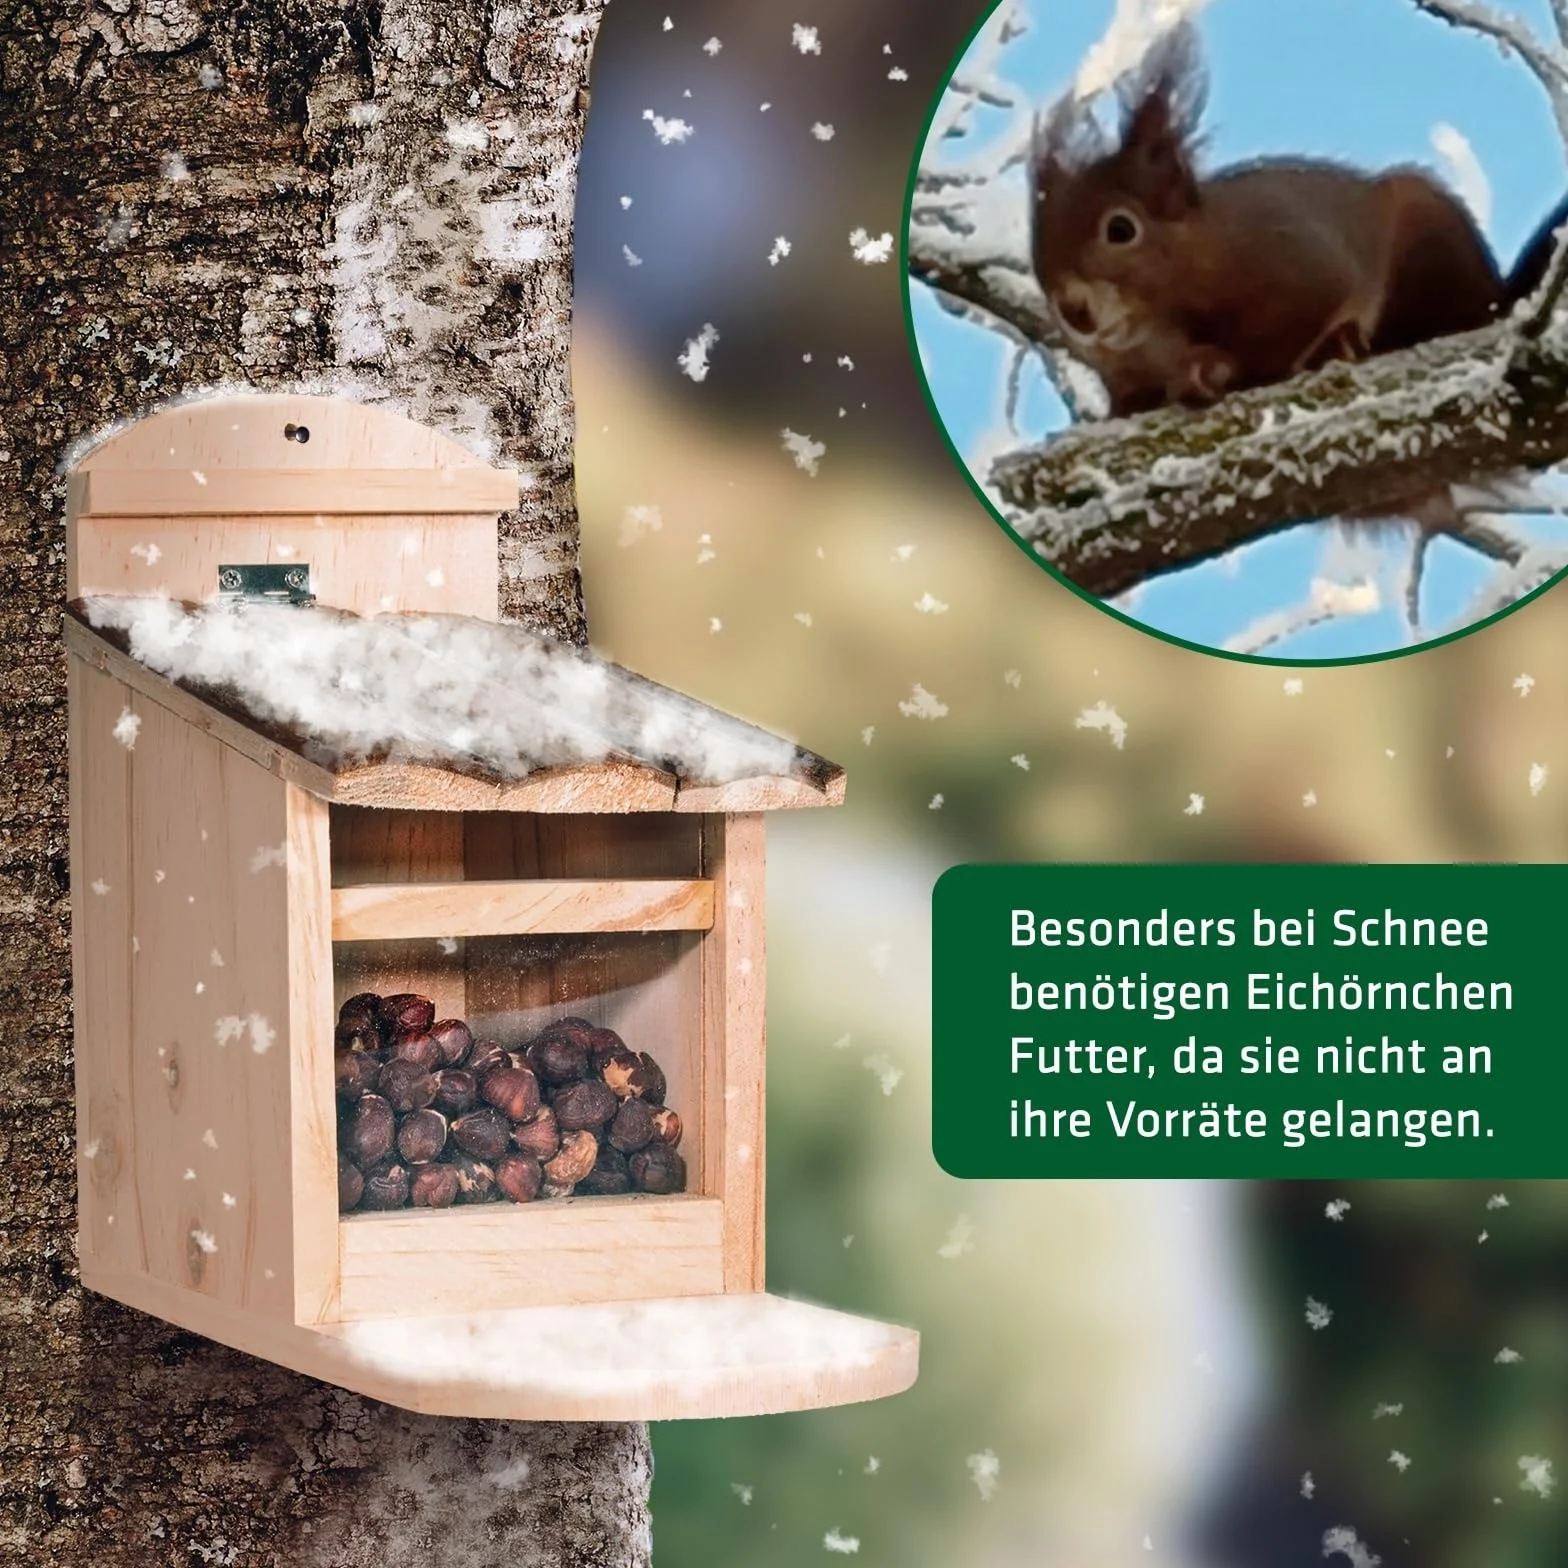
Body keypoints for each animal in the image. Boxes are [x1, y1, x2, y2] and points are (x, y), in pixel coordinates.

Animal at [1031, 25, 1562, 419]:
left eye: (1121, 230)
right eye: (1038, 255)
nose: (1074, 311)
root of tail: (1501, 296)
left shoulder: (1298, 266)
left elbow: (1276, 340)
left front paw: (1211, 369)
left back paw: (1344, 343)